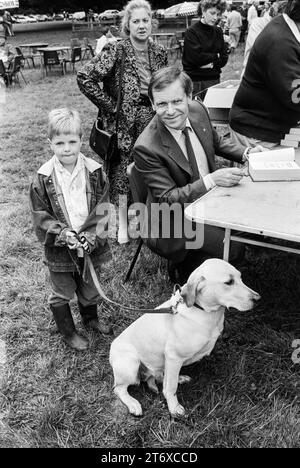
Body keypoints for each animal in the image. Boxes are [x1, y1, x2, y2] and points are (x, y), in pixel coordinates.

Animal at [109, 260, 258, 416]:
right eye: (229, 282)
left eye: (241, 277)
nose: (258, 298)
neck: (205, 312)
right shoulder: (174, 357)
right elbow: (171, 388)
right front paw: (174, 408)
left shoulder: (172, 361)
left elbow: (169, 383)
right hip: (131, 365)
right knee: (119, 388)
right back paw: (133, 403)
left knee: (160, 378)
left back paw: (179, 378)